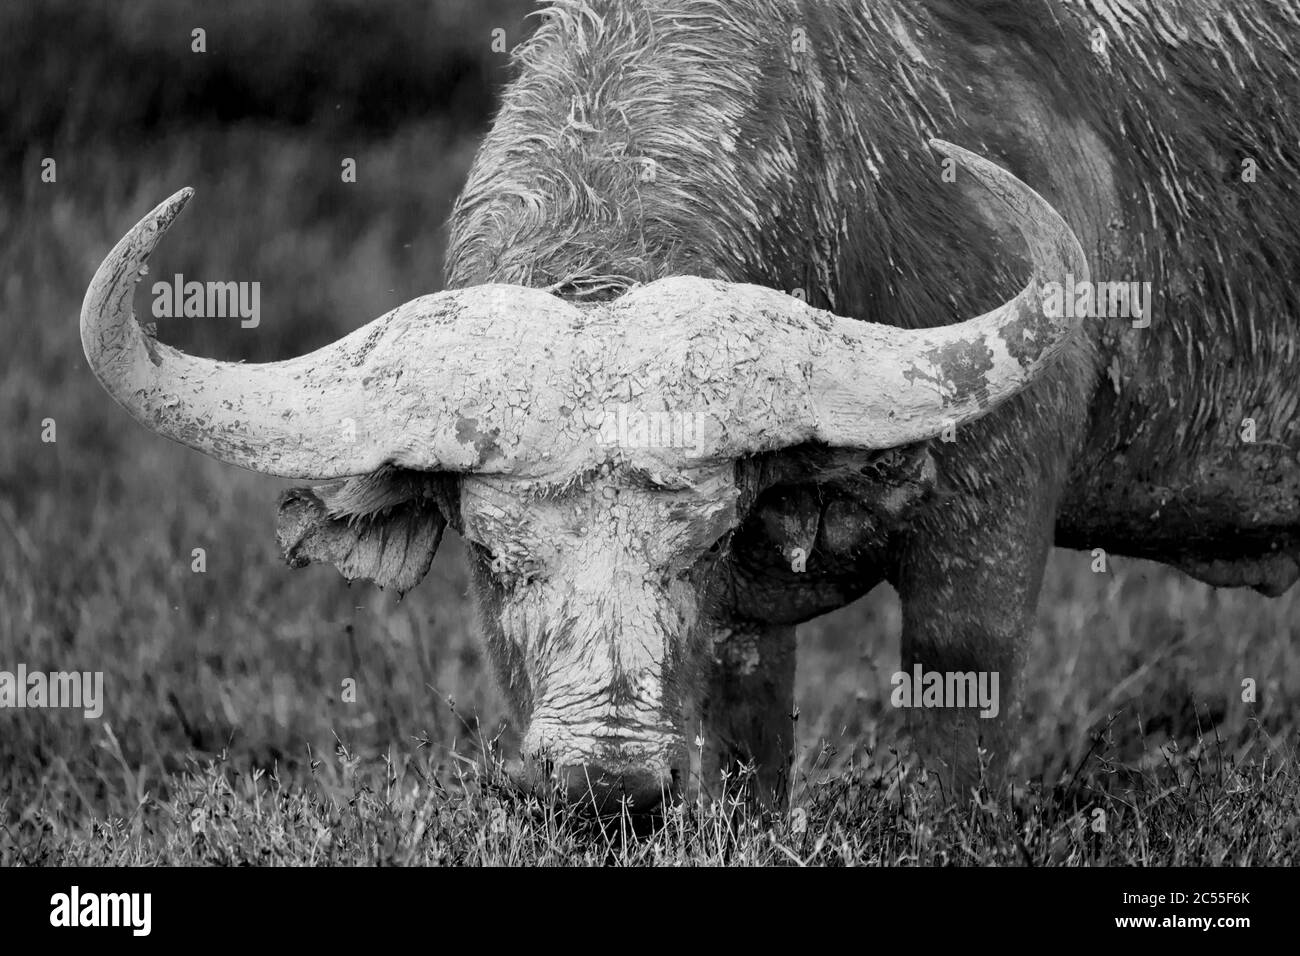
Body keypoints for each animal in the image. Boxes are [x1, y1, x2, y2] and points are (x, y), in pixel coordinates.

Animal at [86, 0, 1294, 811]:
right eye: (491, 555)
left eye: (698, 541)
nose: (609, 784)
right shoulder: (744, 639)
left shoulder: (992, 508)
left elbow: (958, 689)